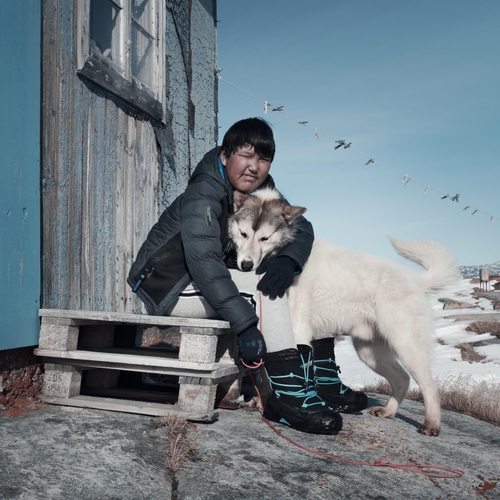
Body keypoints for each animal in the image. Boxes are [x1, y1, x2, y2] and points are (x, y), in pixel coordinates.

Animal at [229, 186, 458, 436]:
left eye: (265, 238)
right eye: (243, 234)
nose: (246, 265)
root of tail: (415, 280)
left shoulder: (296, 332)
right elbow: (263, 374)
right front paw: (261, 402)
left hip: (406, 346)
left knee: (429, 386)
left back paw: (431, 424)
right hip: (370, 353)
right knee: (402, 379)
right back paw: (389, 411)